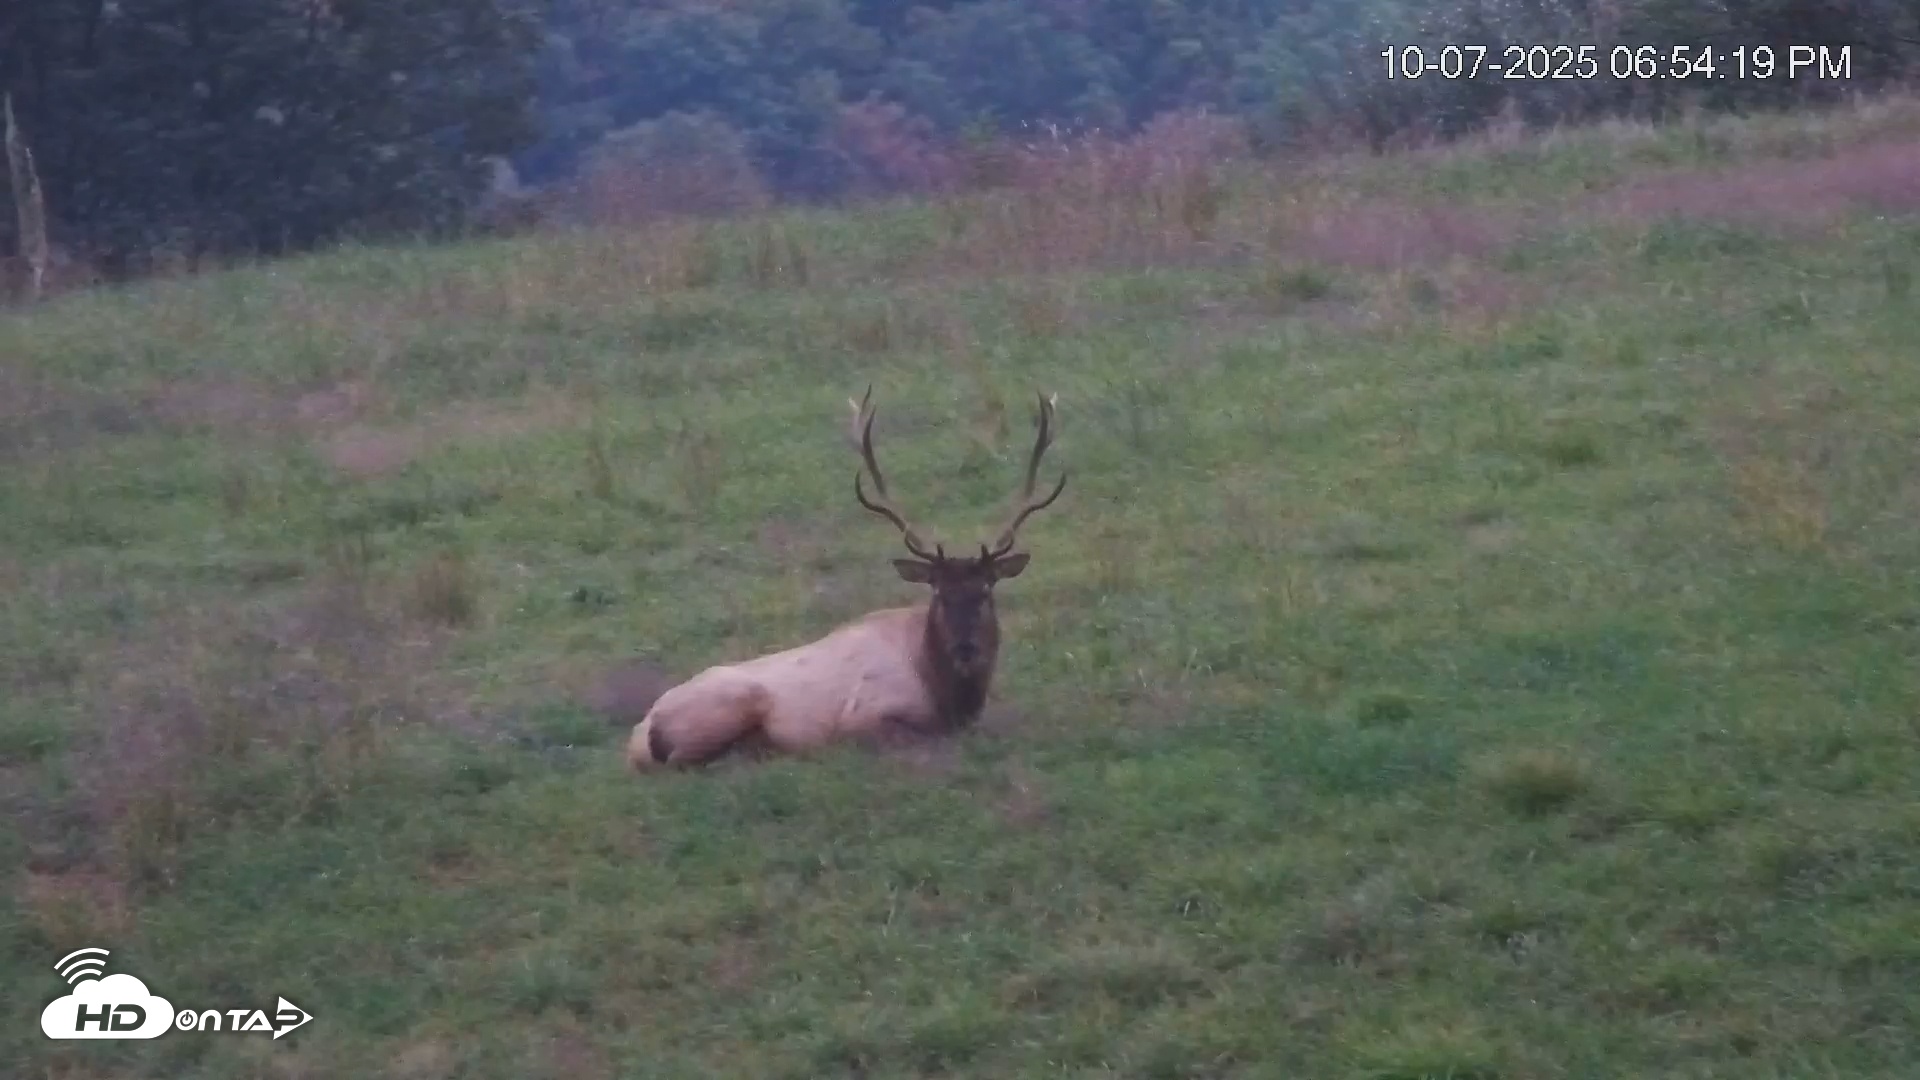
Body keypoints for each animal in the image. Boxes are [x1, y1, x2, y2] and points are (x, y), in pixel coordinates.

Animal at [625, 385, 1067, 771]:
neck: (949, 695)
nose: (965, 648)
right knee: (684, 764)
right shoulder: (863, 717)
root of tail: (639, 736)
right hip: (731, 703)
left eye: (986, 590)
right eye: (939, 592)